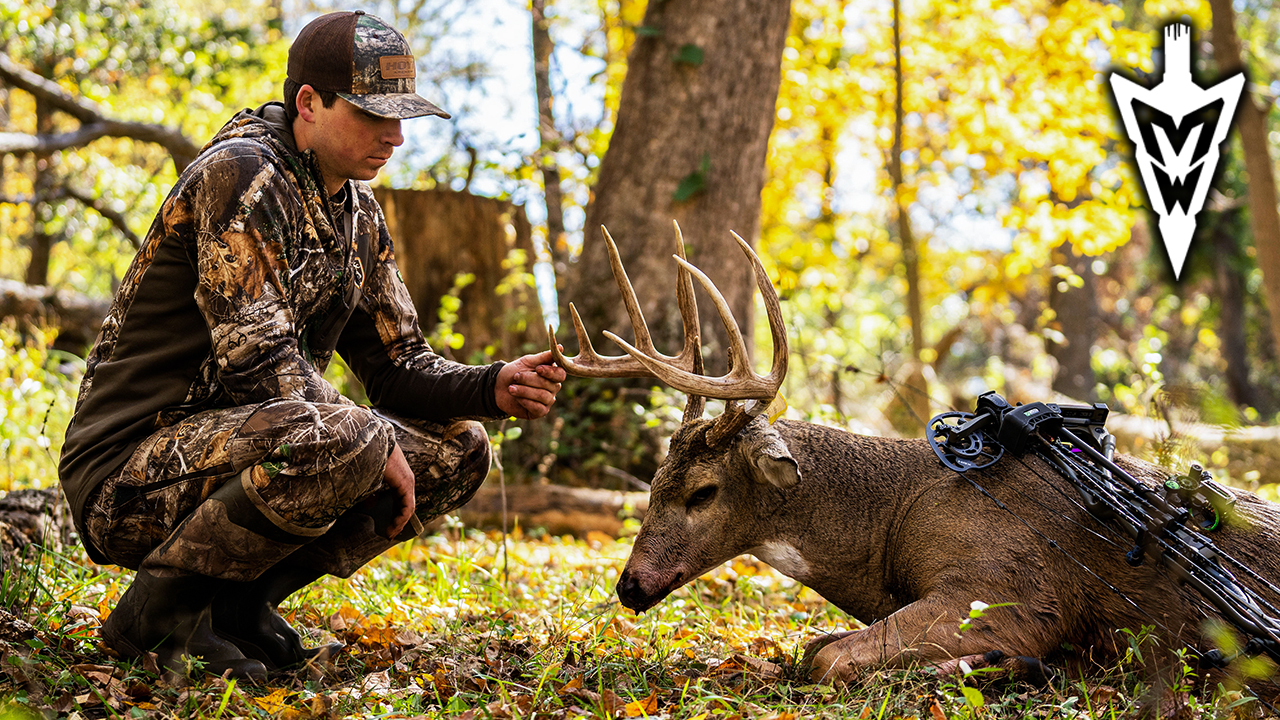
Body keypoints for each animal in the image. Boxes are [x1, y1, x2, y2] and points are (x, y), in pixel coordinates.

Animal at [550, 224, 1280, 700]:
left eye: (702, 492)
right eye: (651, 483)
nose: (629, 586)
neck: (890, 520)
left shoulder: (1013, 587)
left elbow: (826, 657)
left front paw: (1011, 663)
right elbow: (816, 647)